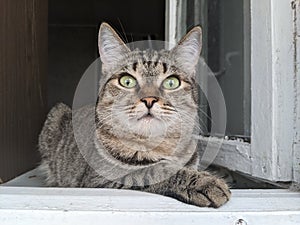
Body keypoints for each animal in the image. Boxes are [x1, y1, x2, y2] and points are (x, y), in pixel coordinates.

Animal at [37, 22, 230, 207]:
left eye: (171, 82)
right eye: (127, 81)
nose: (149, 99)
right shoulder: (101, 179)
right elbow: (152, 170)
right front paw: (205, 182)